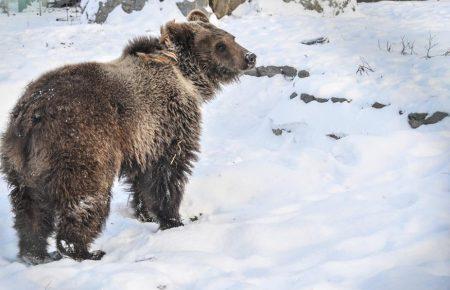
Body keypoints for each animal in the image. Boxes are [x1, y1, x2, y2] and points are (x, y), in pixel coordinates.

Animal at [0, 9, 256, 266]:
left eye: (232, 37)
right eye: (220, 45)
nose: (250, 56)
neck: (186, 76)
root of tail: (32, 114)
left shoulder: (142, 139)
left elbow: (142, 176)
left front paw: (147, 213)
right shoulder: (167, 121)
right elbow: (169, 171)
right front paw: (173, 219)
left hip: (22, 164)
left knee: (30, 209)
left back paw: (36, 253)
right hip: (80, 143)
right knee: (86, 197)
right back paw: (83, 250)